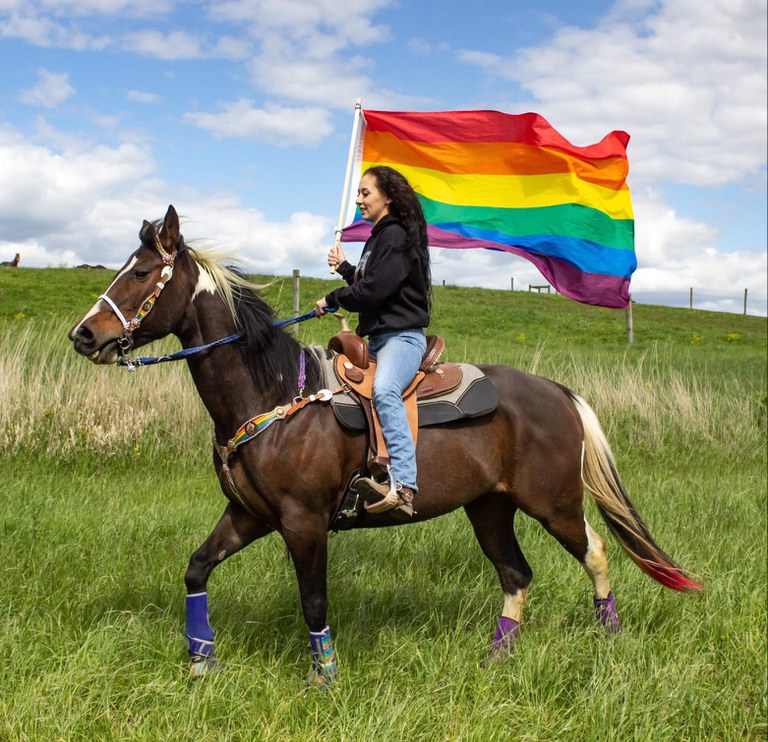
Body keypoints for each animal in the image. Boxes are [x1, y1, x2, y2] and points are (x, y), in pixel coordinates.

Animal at [67, 208, 704, 684]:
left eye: (142, 273)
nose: (84, 334)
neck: (273, 395)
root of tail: (559, 393)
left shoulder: (304, 521)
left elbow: (314, 601)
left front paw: (325, 676)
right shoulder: (249, 514)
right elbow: (196, 569)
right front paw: (202, 660)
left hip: (554, 502)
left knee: (595, 552)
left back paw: (609, 634)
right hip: (489, 507)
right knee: (516, 573)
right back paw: (497, 657)